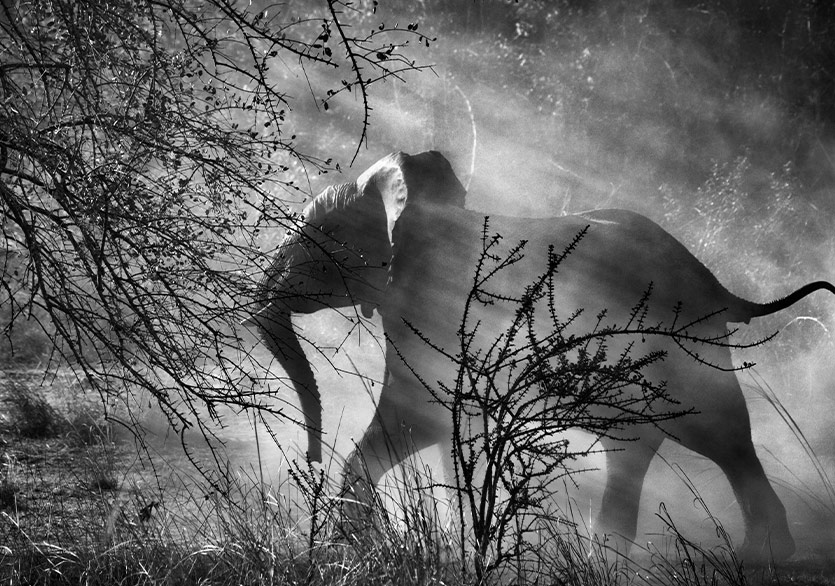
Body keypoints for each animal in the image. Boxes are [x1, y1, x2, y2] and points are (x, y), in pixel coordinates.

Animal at [247, 151, 835, 560]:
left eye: (315, 238)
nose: (308, 459)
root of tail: (718, 285)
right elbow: (444, 425)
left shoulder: (438, 307)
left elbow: (421, 414)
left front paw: (350, 547)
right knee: (642, 442)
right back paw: (615, 557)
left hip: (682, 342)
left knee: (718, 430)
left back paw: (759, 554)